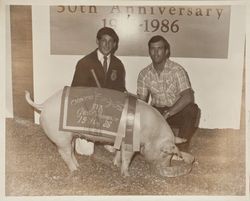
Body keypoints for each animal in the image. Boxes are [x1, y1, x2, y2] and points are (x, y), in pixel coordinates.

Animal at [24, 88, 193, 177]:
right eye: (166, 154)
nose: (167, 168)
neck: (151, 134)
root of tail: (44, 104)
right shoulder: (130, 143)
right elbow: (127, 158)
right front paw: (127, 175)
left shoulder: (121, 140)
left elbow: (118, 152)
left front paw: (115, 164)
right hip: (61, 136)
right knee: (64, 153)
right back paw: (75, 170)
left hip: (70, 136)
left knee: (70, 151)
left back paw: (78, 166)